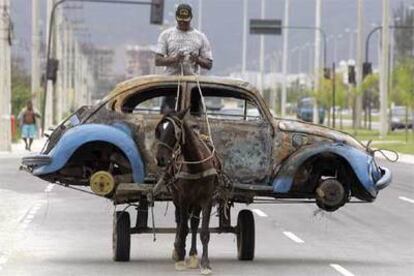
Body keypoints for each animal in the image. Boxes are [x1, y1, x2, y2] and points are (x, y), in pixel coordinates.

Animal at [154, 108, 223, 274]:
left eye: (173, 132)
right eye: (159, 131)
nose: (160, 159)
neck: (196, 165)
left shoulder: (206, 199)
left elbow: (203, 232)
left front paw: (205, 263)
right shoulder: (184, 198)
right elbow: (183, 228)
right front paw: (180, 257)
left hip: (196, 202)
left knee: (194, 223)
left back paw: (192, 254)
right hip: (177, 197)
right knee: (180, 221)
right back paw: (178, 249)